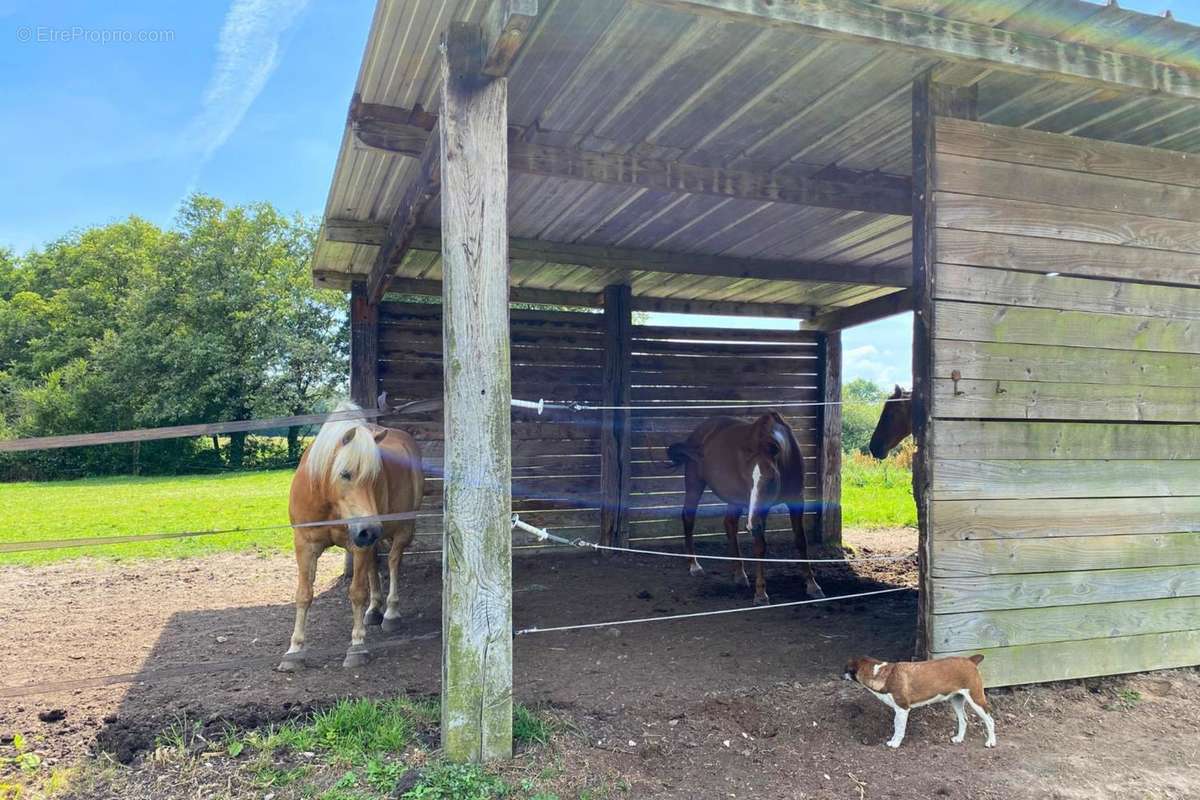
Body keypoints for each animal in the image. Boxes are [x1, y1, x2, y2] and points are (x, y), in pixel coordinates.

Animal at [277, 400, 424, 671]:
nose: (371, 529)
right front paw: (294, 651)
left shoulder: (360, 544)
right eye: (345, 474)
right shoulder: (305, 544)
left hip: (402, 530)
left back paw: (390, 612)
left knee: (393, 561)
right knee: (375, 566)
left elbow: (357, 592)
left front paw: (356, 647)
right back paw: (374, 610)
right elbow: (304, 594)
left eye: (375, 476)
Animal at [667, 417, 825, 604]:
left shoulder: (796, 500)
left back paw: (739, 574)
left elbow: (801, 541)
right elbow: (760, 546)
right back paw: (694, 565)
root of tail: (698, 432)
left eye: (771, 478)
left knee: (729, 524)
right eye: (748, 480)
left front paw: (813, 585)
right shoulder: (759, 511)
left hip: (734, 499)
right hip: (695, 484)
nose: (751, 525)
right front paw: (761, 593)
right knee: (688, 517)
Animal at [840, 657, 998, 753]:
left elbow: (899, 728)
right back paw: (959, 739)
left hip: (976, 699)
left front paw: (895, 743)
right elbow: (896, 726)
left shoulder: (902, 709)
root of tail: (970, 660)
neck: (882, 675)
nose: (840, 676)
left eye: (846, 669)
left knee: (990, 720)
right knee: (964, 720)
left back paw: (991, 742)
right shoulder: (898, 710)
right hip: (956, 700)